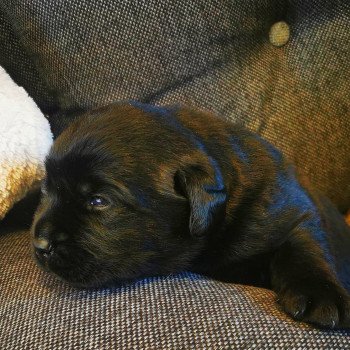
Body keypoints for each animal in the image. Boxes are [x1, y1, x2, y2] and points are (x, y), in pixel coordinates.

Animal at [31, 101, 348, 328]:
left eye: (98, 200)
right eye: (46, 190)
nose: (41, 245)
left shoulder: (290, 209)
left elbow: (303, 243)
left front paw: (320, 294)